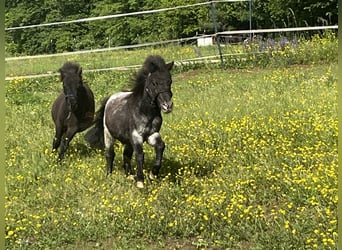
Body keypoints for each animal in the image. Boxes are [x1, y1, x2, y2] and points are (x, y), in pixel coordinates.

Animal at [85, 55, 174, 188]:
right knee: (110, 154)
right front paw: (140, 181)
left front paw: (152, 175)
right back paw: (109, 175)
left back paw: (130, 176)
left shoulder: (152, 135)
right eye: (154, 83)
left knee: (126, 154)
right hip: (108, 135)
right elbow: (139, 156)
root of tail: (109, 99)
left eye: (170, 81)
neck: (145, 112)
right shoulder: (136, 136)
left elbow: (160, 147)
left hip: (127, 140)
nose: (167, 106)